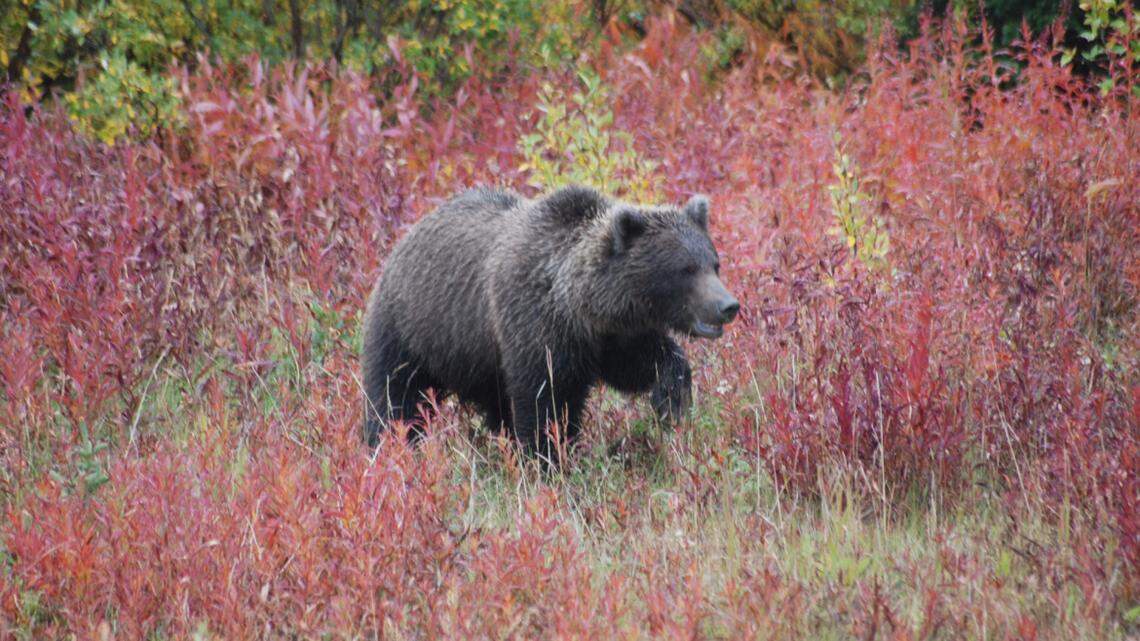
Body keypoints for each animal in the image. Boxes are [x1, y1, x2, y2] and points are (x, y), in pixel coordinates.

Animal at [361, 184, 739, 460]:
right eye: (685, 269)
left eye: (714, 263)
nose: (728, 305)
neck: (578, 309)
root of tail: (403, 240)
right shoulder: (533, 327)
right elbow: (543, 401)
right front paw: (548, 458)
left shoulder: (613, 338)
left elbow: (646, 364)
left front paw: (671, 401)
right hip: (411, 331)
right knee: (394, 398)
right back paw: (387, 450)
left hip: (480, 361)